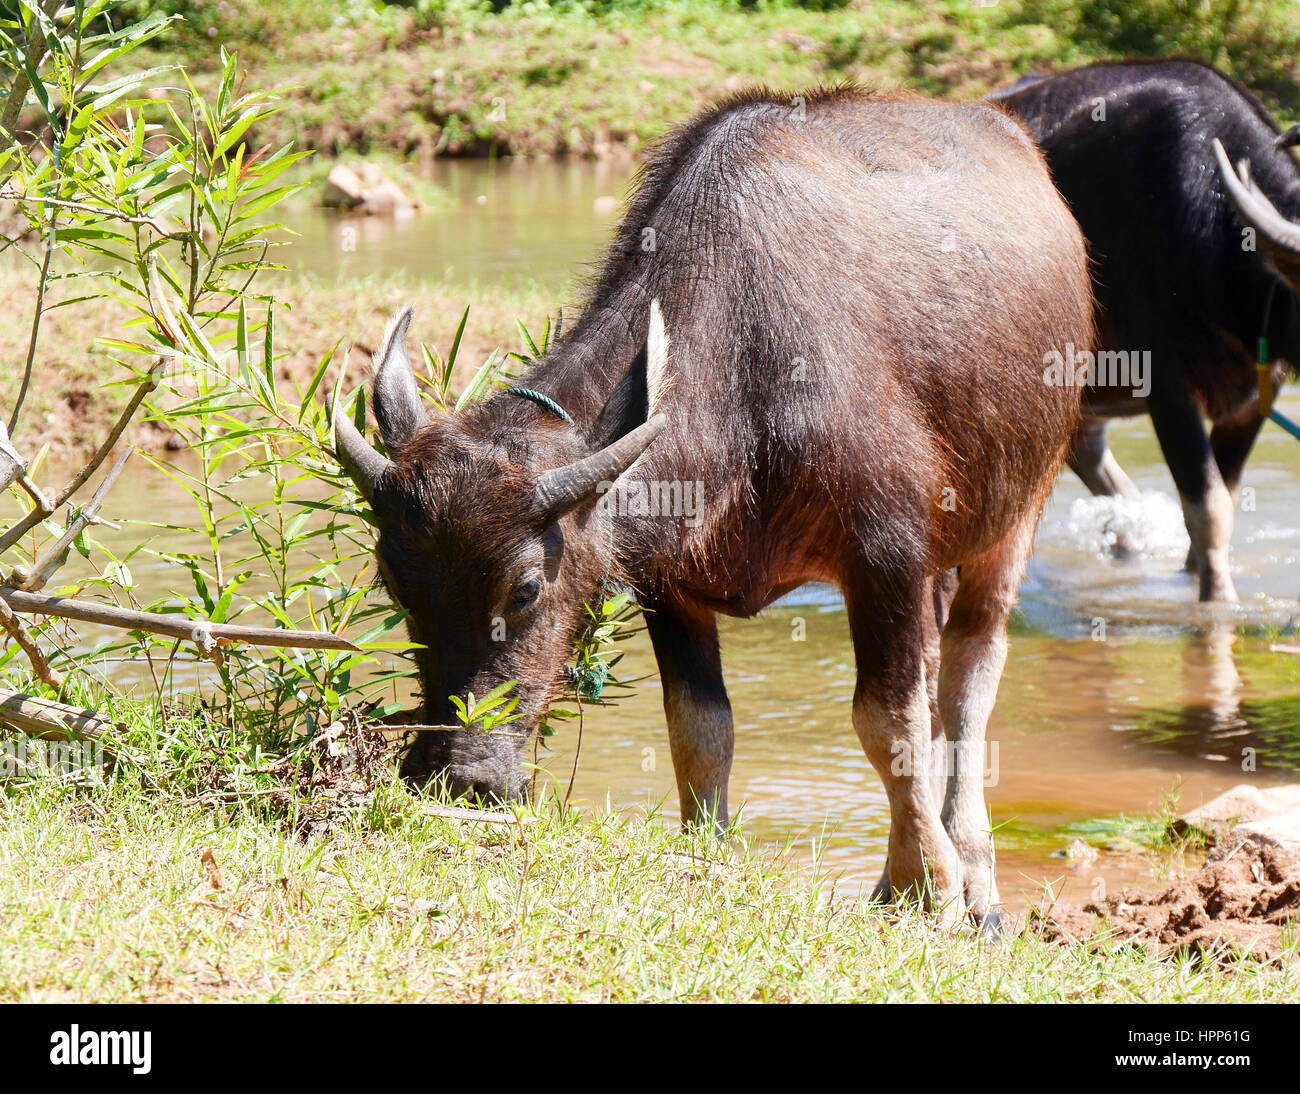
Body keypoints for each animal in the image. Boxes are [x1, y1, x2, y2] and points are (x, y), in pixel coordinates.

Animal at [334, 87, 1093, 926]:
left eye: (526, 588)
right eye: (396, 586)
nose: (457, 776)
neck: (745, 373)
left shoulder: (885, 554)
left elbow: (885, 722)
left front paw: (929, 884)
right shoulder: (669, 583)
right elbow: (701, 729)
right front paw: (710, 855)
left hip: (1018, 511)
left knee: (967, 682)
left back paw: (979, 882)